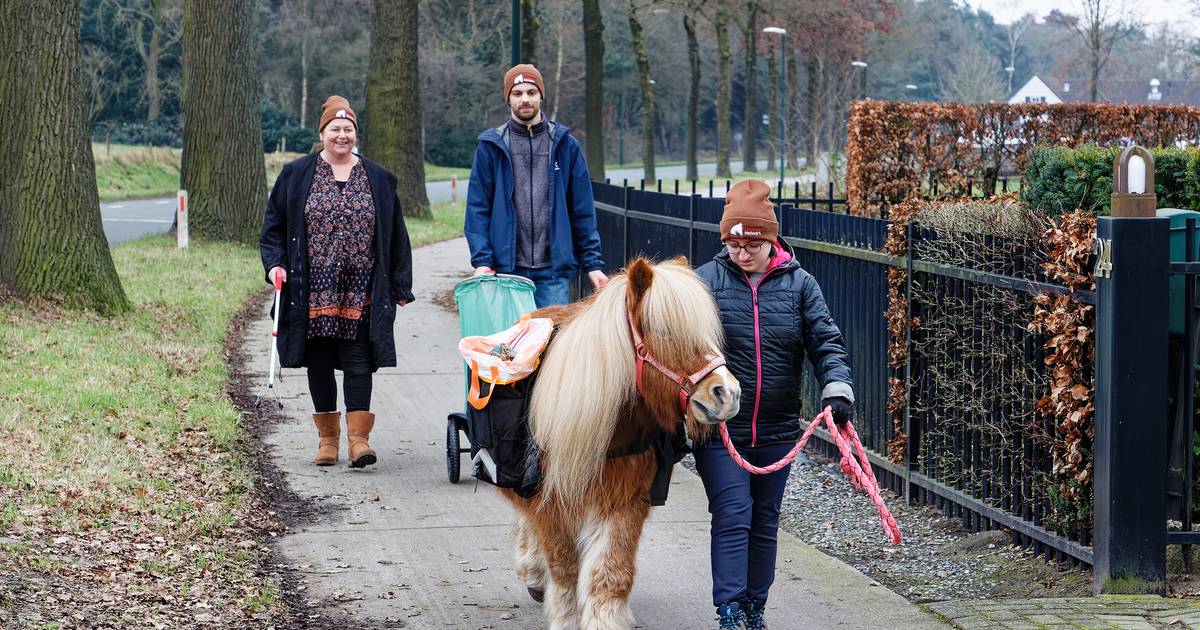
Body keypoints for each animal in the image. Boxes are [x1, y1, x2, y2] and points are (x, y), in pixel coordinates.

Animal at [496, 256, 739, 628]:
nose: (727, 394)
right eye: (664, 331)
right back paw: (533, 571)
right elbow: (563, 566)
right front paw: (566, 617)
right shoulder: (552, 503)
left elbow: (611, 570)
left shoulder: (626, 499)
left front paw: (605, 617)